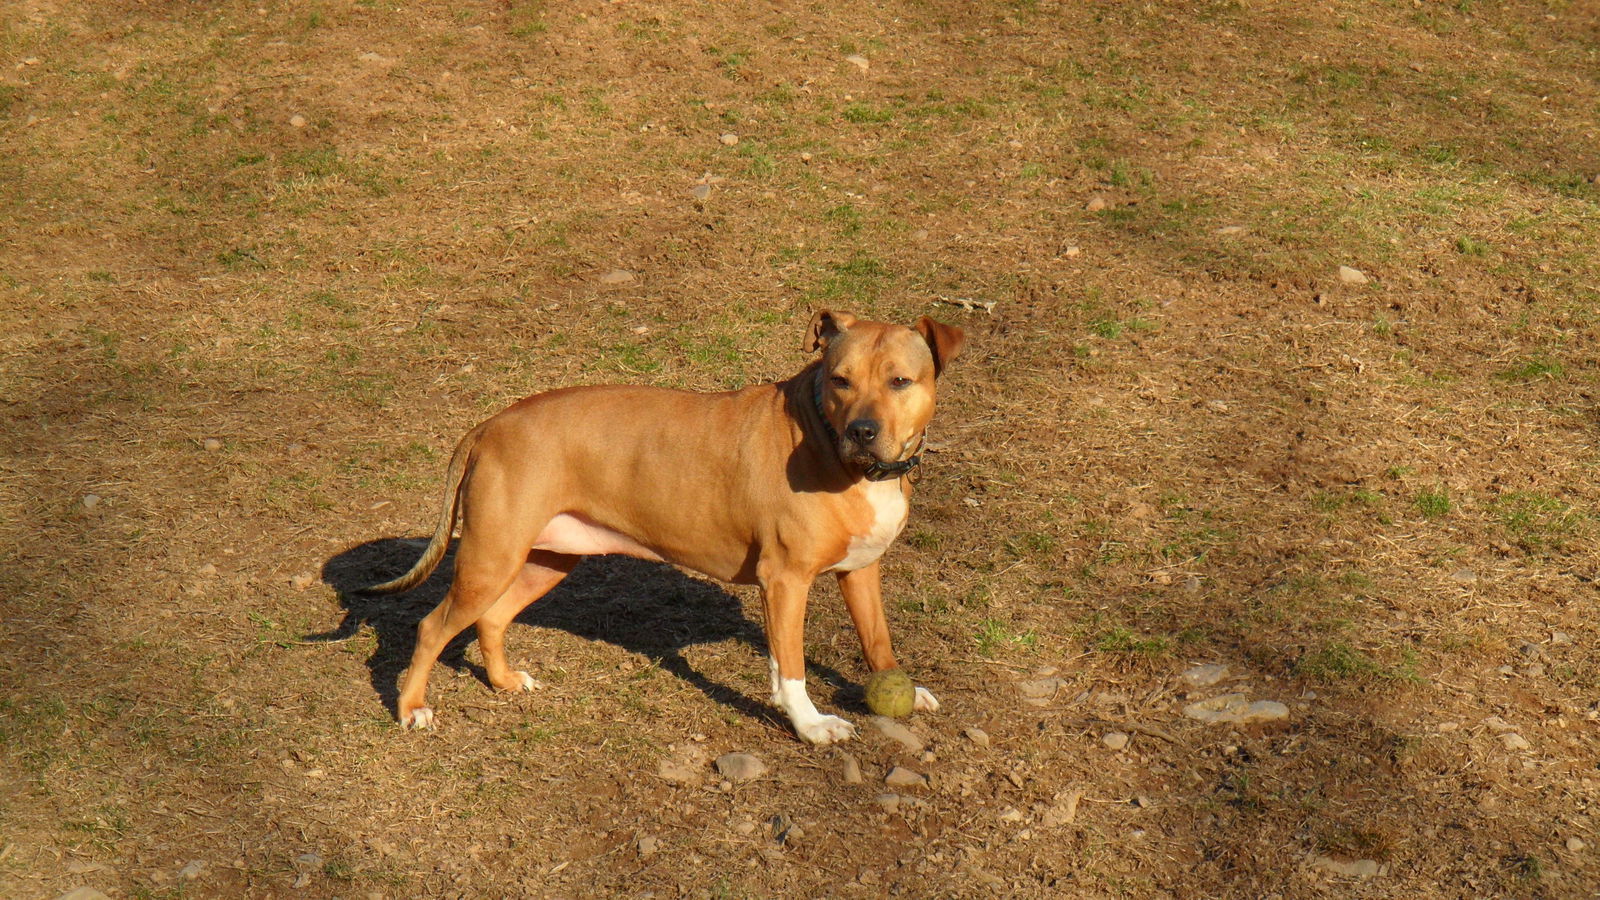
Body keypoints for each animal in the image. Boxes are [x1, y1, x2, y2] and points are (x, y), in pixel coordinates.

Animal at [363, 307, 960, 743]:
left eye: (900, 381)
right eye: (840, 380)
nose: (862, 431)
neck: (829, 441)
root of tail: (490, 425)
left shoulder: (861, 572)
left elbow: (876, 638)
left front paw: (903, 687)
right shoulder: (785, 582)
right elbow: (790, 667)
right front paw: (811, 724)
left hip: (545, 559)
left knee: (492, 618)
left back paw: (505, 681)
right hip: (491, 558)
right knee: (432, 627)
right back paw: (412, 708)